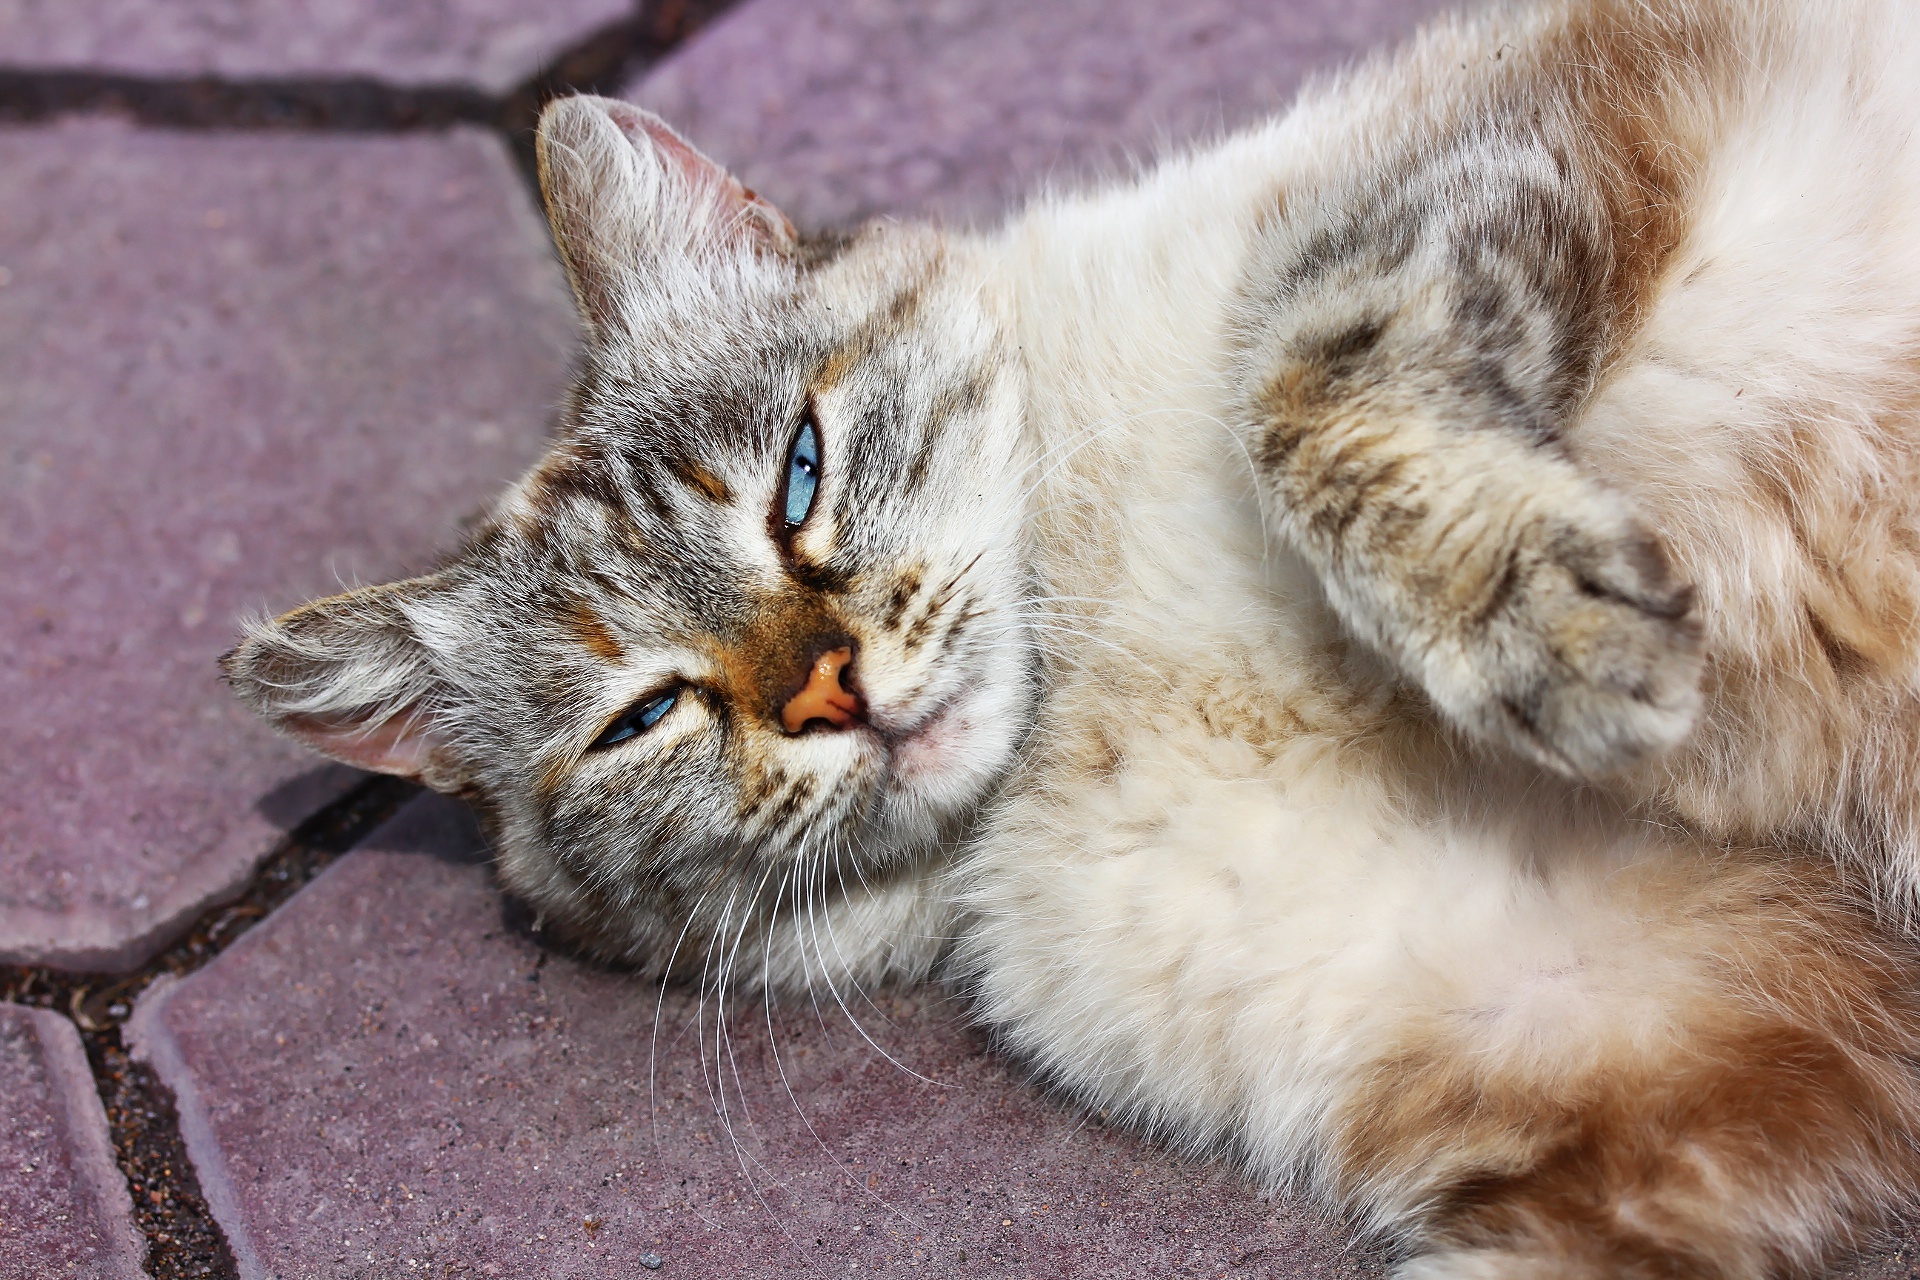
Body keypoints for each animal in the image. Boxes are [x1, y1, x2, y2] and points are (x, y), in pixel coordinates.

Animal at [224, 0, 1920, 1274]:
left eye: (798, 478)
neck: (1089, 702)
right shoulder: (1690, 1050)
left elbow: (1302, 391)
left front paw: (1568, 649)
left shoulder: (1525, 124)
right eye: (643, 718)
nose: (830, 691)